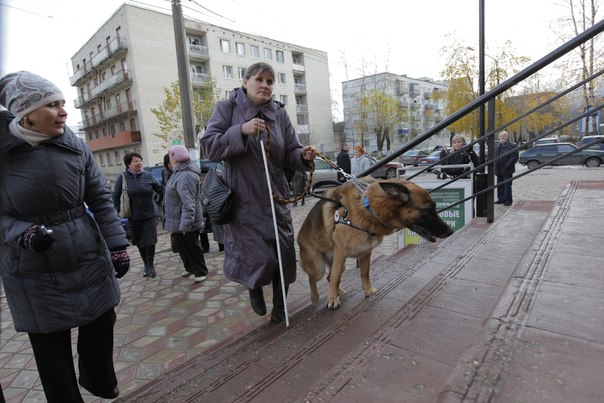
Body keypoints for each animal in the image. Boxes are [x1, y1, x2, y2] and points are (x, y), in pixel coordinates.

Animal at [298, 178, 452, 310]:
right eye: (428, 210)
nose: (450, 231)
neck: (369, 209)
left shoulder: (366, 251)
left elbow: (364, 273)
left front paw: (368, 290)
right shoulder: (341, 252)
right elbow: (336, 279)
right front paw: (332, 299)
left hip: (339, 264)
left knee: (330, 276)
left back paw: (339, 292)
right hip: (319, 267)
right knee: (315, 278)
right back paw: (316, 297)